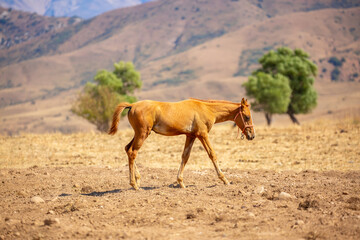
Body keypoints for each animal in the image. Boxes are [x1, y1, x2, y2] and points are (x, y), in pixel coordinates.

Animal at [108, 97, 255, 189]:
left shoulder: (191, 136)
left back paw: (138, 180)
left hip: (140, 134)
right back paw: (134, 184)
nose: (252, 135)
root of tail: (132, 105)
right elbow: (212, 154)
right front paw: (225, 180)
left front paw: (181, 183)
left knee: (127, 149)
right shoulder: (203, 135)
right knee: (133, 152)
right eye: (247, 116)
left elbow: (185, 156)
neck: (206, 109)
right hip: (142, 134)